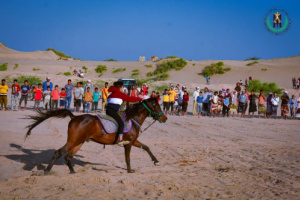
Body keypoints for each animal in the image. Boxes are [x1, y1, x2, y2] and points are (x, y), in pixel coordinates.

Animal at [25, 97, 166, 174]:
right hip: (73, 141)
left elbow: (146, 147)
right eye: (158, 107)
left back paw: (73, 172)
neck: (133, 118)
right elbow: (128, 158)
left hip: (79, 142)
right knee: (58, 153)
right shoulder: (128, 144)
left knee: (68, 157)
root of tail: (74, 117)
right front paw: (129, 170)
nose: (165, 118)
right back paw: (46, 171)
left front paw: (156, 161)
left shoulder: (133, 141)